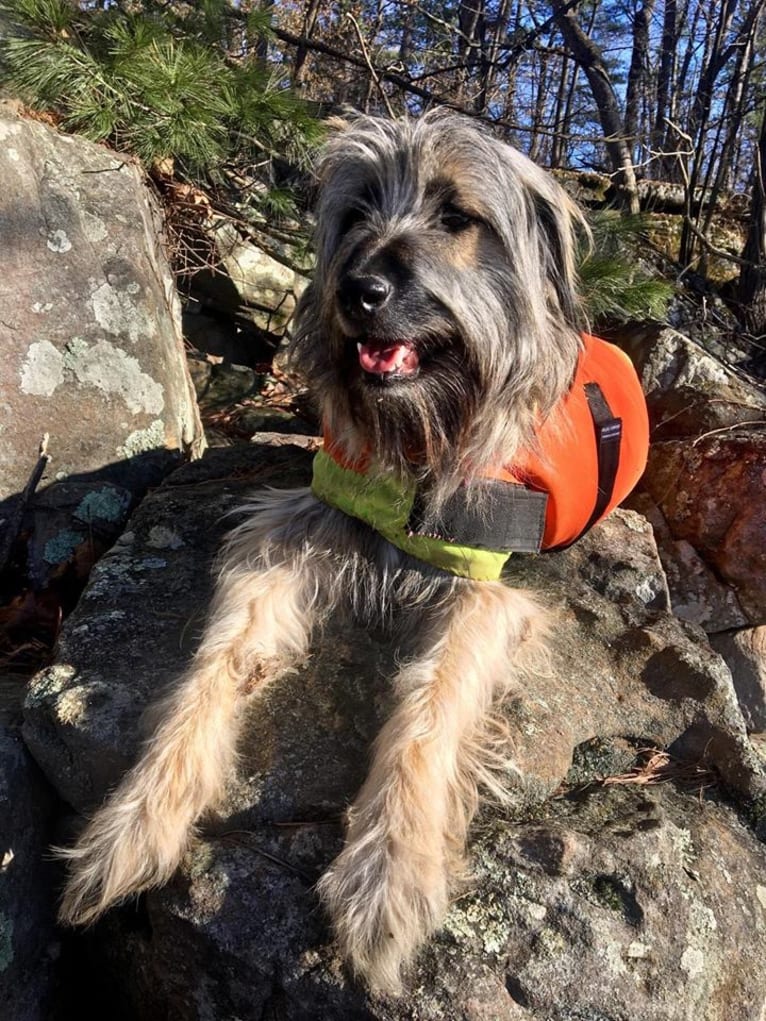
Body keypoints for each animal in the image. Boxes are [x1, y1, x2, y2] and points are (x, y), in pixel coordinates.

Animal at [56, 107, 649, 992]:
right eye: (359, 209)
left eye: (456, 215)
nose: (356, 290)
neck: (420, 430)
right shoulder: (292, 529)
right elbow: (217, 661)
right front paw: (137, 818)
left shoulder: (486, 592)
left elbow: (431, 710)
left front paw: (389, 872)